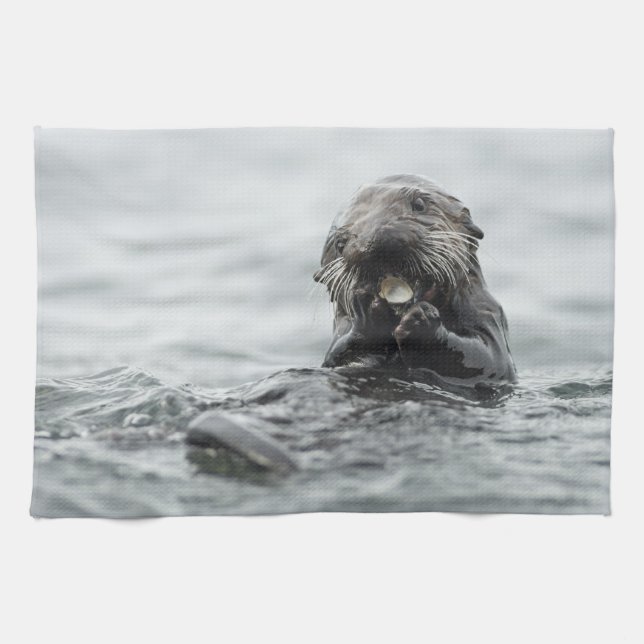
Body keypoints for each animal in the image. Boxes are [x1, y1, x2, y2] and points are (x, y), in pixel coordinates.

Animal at [314, 175, 517, 384]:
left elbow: (489, 358)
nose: (373, 242)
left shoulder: (488, 313)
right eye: (340, 244)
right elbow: (341, 356)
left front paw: (421, 321)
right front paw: (368, 315)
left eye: (419, 204)